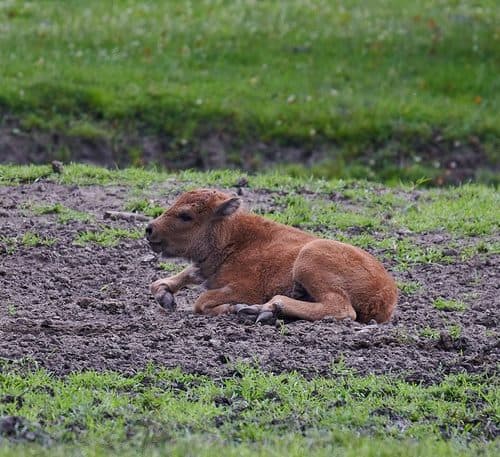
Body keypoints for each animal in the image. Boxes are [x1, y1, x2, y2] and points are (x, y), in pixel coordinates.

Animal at [146, 187, 398, 322]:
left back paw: (265, 310)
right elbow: (172, 278)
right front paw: (165, 296)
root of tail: (387, 293)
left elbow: (202, 301)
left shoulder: (246, 288)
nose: (149, 229)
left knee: (341, 309)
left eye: (186, 215)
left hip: (309, 258)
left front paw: (234, 308)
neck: (234, 237)